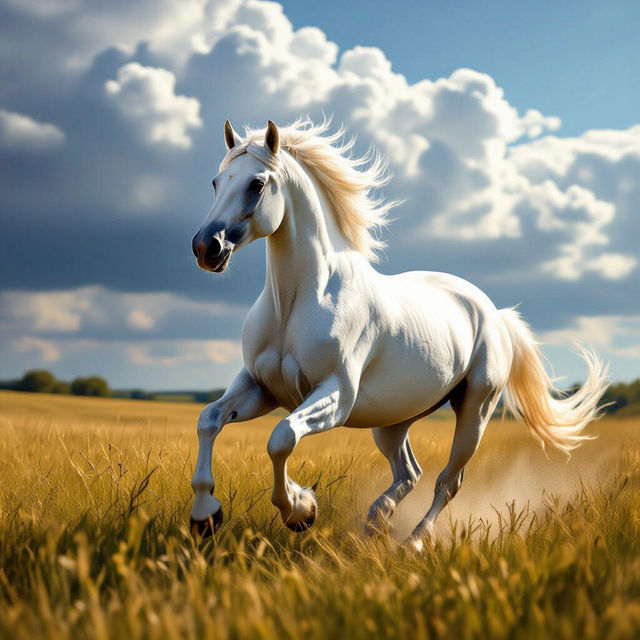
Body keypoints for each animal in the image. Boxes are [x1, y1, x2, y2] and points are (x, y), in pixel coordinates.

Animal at [189, 118, 607, 550]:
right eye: (217, 182)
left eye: (256, 183)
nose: (207, 247)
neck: (296, 303)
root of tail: (495, 314)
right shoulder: (261, 388)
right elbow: (209, 420)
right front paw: (205, 516)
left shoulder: (335, 396)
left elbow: (281, 437)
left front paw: (300, 510)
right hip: (393, 422)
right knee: (409, 472)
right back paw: (376, 519)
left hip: (475, 410)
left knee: (447, 482)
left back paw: (414, 542)